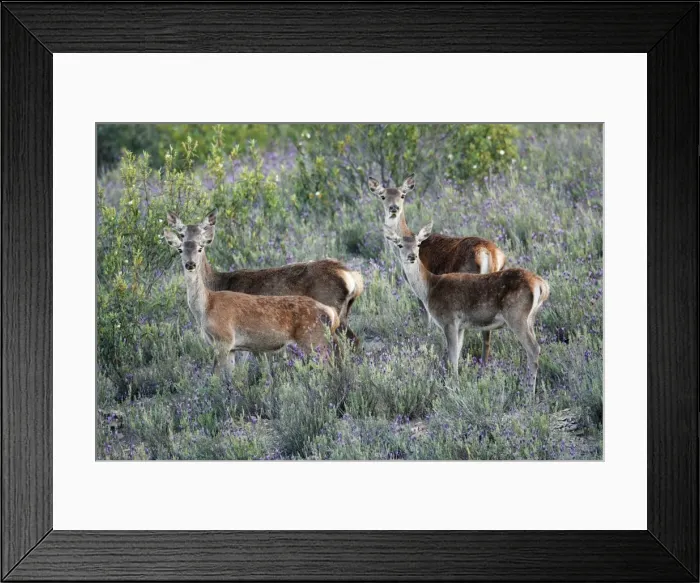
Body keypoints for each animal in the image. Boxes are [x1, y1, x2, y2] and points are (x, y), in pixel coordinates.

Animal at [163, 226, 339, 374]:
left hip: (313, 339)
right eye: (180, 249)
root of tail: (330, 312)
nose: (190, 264)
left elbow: (217, 376)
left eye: (200, 248)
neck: (206, 307)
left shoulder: (224, 339)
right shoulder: (232, 348)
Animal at [166, 210, 364, 346]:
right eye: (182, 235)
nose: (190, 263)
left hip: (331, 310)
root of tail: (350, 275)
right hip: (342, 314)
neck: (217, 284)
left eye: (201, 239)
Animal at [369, 173, 506, 363]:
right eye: (382, 196)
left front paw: (426, 340)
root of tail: (489, 253)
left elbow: (425, 318)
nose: (393, 208)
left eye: (402, 195)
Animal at [384, 224, 549, 393]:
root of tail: (542, 286)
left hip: (516, 316)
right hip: (530, 318)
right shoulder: (461, 326)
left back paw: (528, 391)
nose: (412, 256)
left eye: (418, 244)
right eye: (400, 245)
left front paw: (453, 387)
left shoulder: (449, 320)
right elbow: (457, 354)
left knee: (533, 348)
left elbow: (452, 357)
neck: (430, 288)